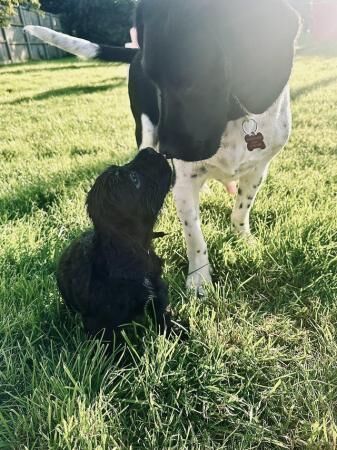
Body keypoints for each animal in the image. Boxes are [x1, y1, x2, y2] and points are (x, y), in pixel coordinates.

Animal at [26, 0, 300, 292]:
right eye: (153, 79)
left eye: (194, 79)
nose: (167, 152)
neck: (233, 120)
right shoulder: (183, 181)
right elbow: (194, 236)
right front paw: (199, 280)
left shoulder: (257, 171)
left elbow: (240, 212)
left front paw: (244, 241)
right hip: (145, 131)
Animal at [56, 148, 172, 342]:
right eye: (134, 178)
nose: (148, 149)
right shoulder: (101, 326)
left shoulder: (158, 291)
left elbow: (164, 315)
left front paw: (178, 335)